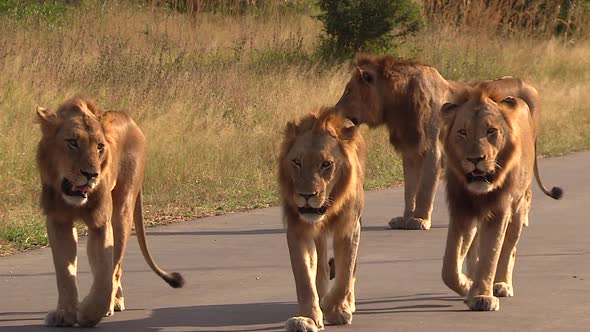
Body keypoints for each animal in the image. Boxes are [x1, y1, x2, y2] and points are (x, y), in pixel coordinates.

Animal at [35, 96, 184, 326]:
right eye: (72, 142)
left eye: (99, 146)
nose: (91, 175)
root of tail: (130, 120)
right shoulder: (58, 221)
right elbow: (64, 272)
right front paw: (65, 314)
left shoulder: (100, 223)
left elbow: (105, 274)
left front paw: (89, 313)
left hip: (122, 210)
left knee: (116, 266)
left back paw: (113, 302)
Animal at [278, 107, 366, 330]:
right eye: (297, 162)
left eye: (326, 164)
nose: (306, 195)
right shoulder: (298, 230)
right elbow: (304, 277)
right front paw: (308, 316)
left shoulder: (349, 228)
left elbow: (345, 276)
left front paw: (334, 309)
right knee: (321, 265)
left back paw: (346, 304)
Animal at [442, 85, 568, 312]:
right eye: (462, 132)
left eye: (491, 131)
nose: (475, 159)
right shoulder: (462, 208)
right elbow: (450, 266)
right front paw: (467, 285)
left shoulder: (499, 210)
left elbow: (491, 254)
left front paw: (483, 296)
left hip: (518, 209)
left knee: (509, 249)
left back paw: (501, 284)